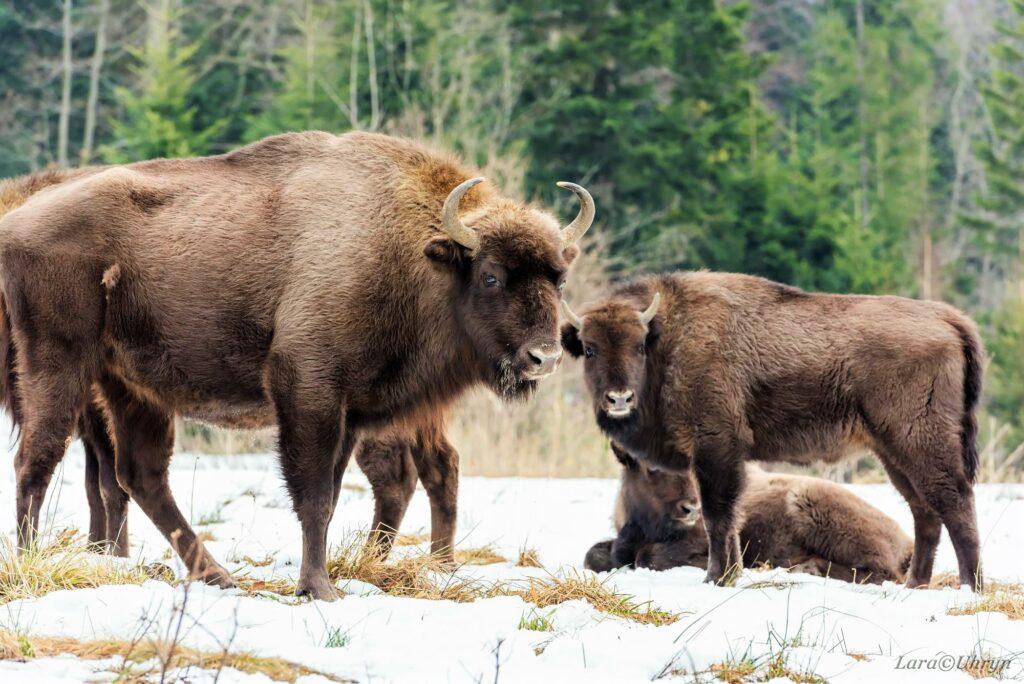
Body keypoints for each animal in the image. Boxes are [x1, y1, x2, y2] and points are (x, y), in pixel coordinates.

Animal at [0, 132, 593, 597]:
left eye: (559, 277)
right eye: (491, 275)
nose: (544, 356)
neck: (410, 249)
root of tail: (18, 224)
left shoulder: (348, 413)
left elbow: (327, 498)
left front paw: (319, 584)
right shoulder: (307, 390)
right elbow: (312, 495)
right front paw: (319, 589)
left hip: (131, 388)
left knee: (140, 476)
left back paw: (217, 576)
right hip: (58, 364)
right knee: (39, 459)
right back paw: (31, 562)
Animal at [585, 446, 913, 585]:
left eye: (692, 467)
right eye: (651, 468)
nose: (691, 506)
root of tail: (907, 542)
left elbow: (648, 556)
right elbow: (595, 555)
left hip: (807, 501)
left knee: (886, 574)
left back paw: (807, 568)